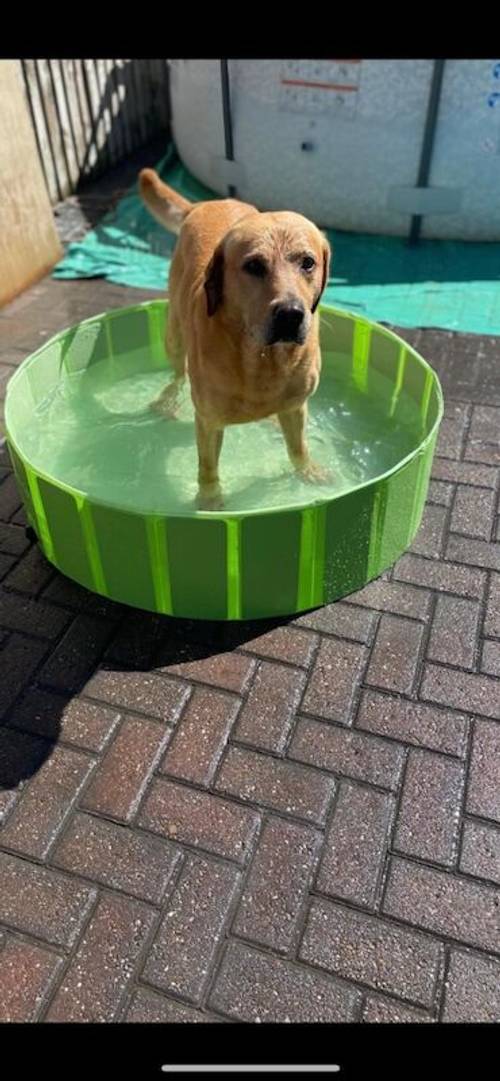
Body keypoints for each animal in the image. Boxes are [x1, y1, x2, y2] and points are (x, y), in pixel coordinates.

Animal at [139, 167, 332, 505]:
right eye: (254, 265)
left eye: (308, 262)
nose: (290, 314)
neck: (262, 360)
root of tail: (203, 204)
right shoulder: (209, 420)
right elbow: (207, 468)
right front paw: (209, 499)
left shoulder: (296, 407)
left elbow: (298, 449)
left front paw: (307, 471)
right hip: (174, 334)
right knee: (177, 374)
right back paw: (166, 402)